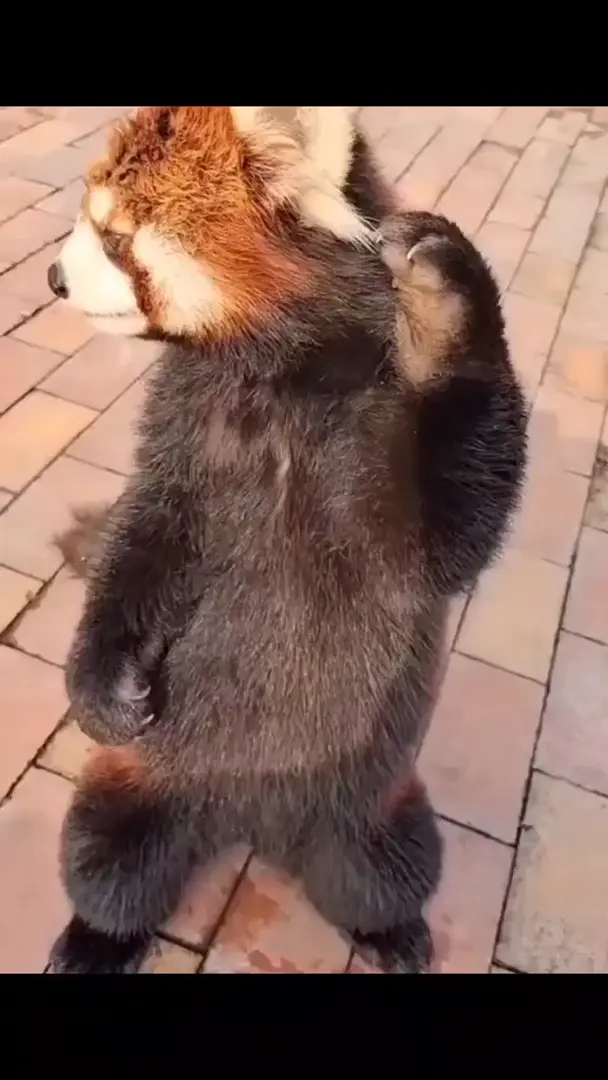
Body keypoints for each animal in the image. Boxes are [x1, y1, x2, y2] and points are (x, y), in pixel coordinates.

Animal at [46, 106, 526, 974]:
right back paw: (95, 936)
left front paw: (447, 299)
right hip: (144, 781)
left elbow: (455, 532)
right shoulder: (183, 431)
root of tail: (251, 826)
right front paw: (98, 683)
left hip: (369, 808)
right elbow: (145, 539)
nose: (53, 280)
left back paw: (392, 931)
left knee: (388, 871)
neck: (278, 371)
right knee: (103, 860)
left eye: (117, 236)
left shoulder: (386, 439)